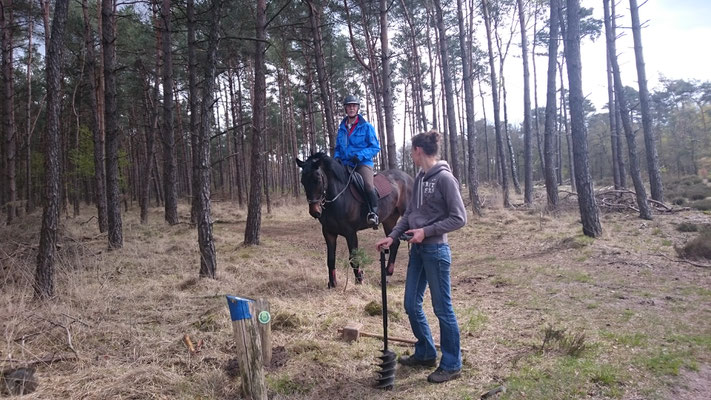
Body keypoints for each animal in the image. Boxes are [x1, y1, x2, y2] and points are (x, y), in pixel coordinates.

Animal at [298, 152, 414, 288]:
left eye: (317, 180)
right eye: (303, 181)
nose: (314, 211)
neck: (339, 197)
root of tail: (408, 177)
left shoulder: (350, 233)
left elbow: (354, 258)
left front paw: (359, 281)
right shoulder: (328, 232)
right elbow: (330, 259)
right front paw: (332, 283)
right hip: (389, 220)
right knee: (394, 243)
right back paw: (386, 275)